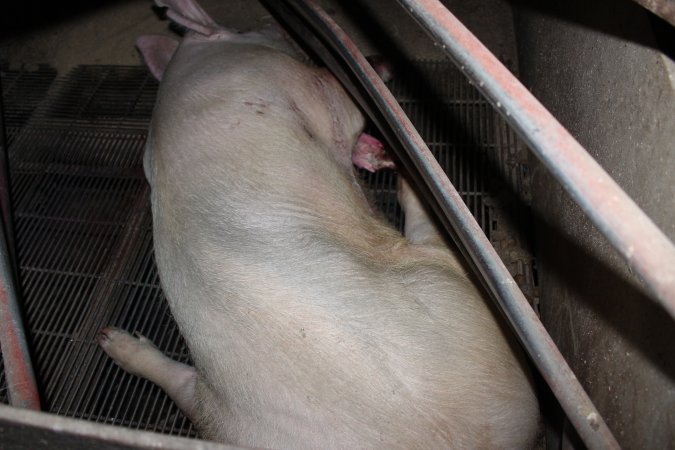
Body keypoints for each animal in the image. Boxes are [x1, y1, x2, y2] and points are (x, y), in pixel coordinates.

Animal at [97, 1, 540, 448]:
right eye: (246, 27)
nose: (271, 21)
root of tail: (436, 437)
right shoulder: (305, 85)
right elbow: (340, 102)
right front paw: (378, 76)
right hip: (448, 284)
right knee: (424, 228)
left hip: (229, 418)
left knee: (185, 392)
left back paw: (109, 340)